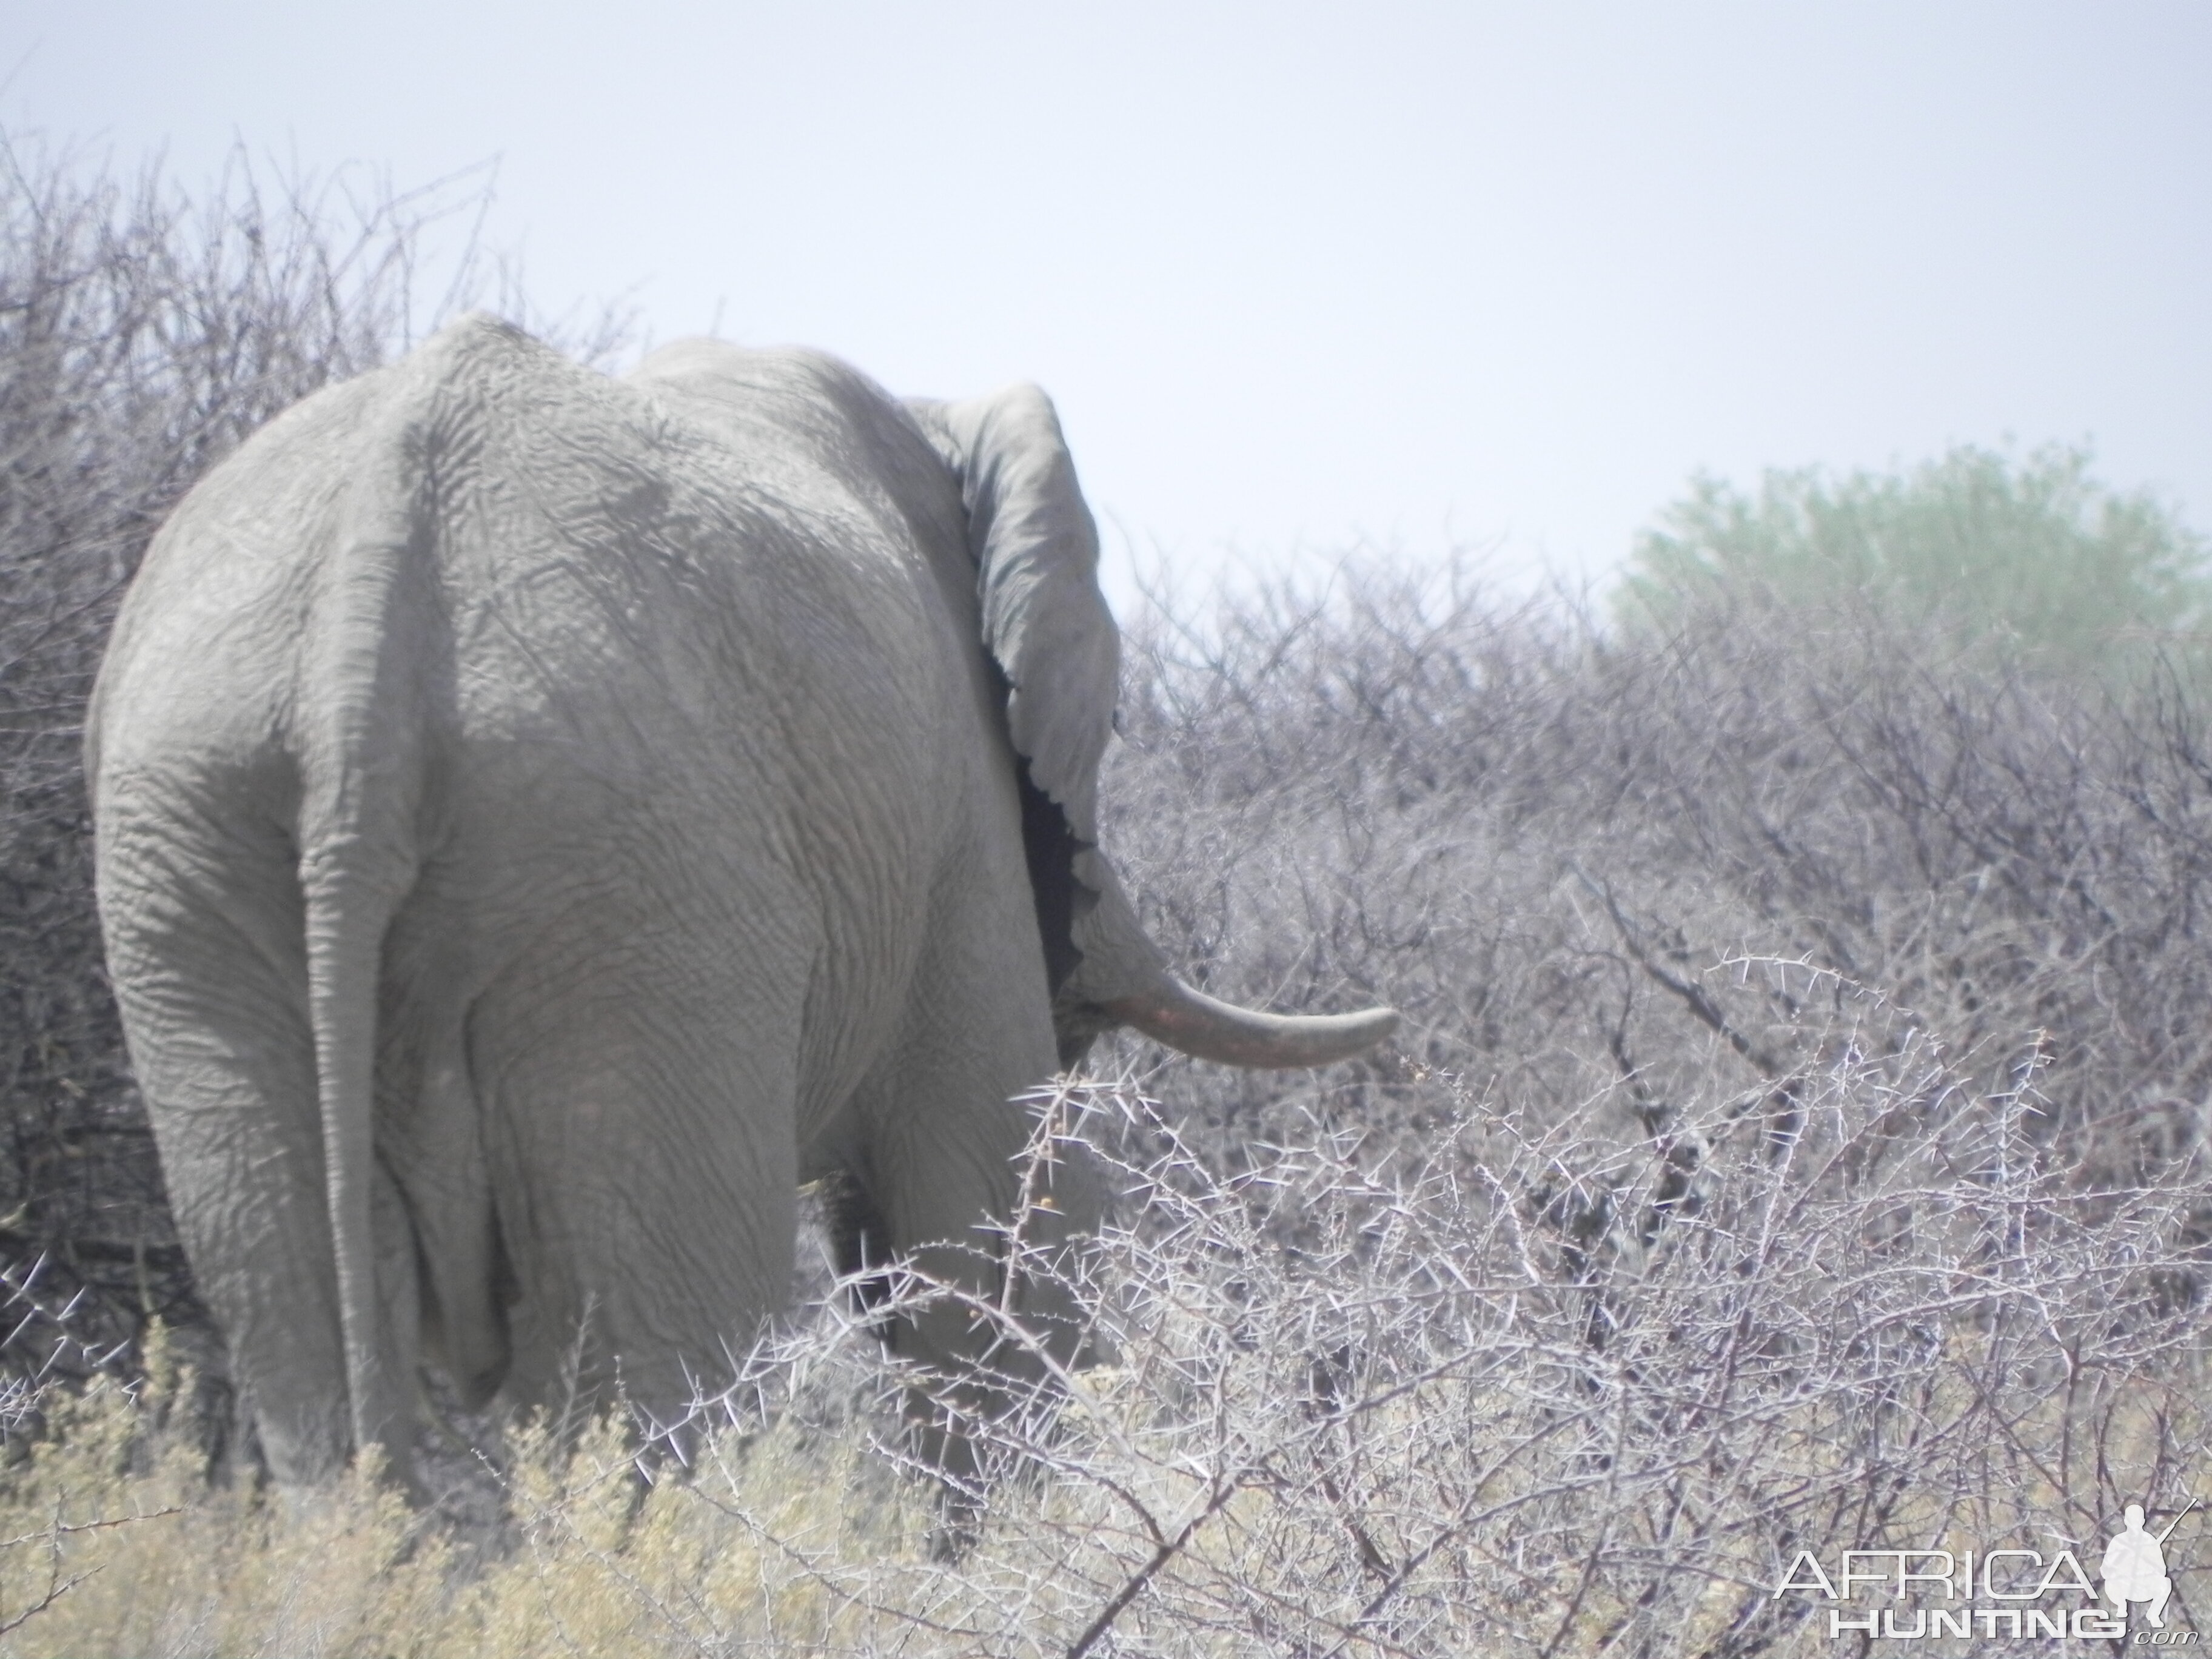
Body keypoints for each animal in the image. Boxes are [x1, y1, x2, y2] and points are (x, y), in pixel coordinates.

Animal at [90, 314, 1398, 1495]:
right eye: (1115, 719)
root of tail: (365, 641)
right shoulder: (953, 814)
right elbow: (981, 1230)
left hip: (194, 866)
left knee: (310, 1358)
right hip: (640, 885)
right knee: (656, 1379)